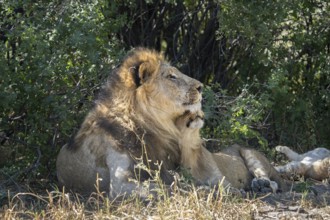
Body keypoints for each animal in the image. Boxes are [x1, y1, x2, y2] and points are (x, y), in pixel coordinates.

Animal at [56, 46, 286, 198]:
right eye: (171, 76)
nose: (201, 86)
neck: (147, 126)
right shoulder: (121, 183)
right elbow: (168, 187)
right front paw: (203, 190)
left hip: (253, 156)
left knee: (271, 178)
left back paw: (262, 185)